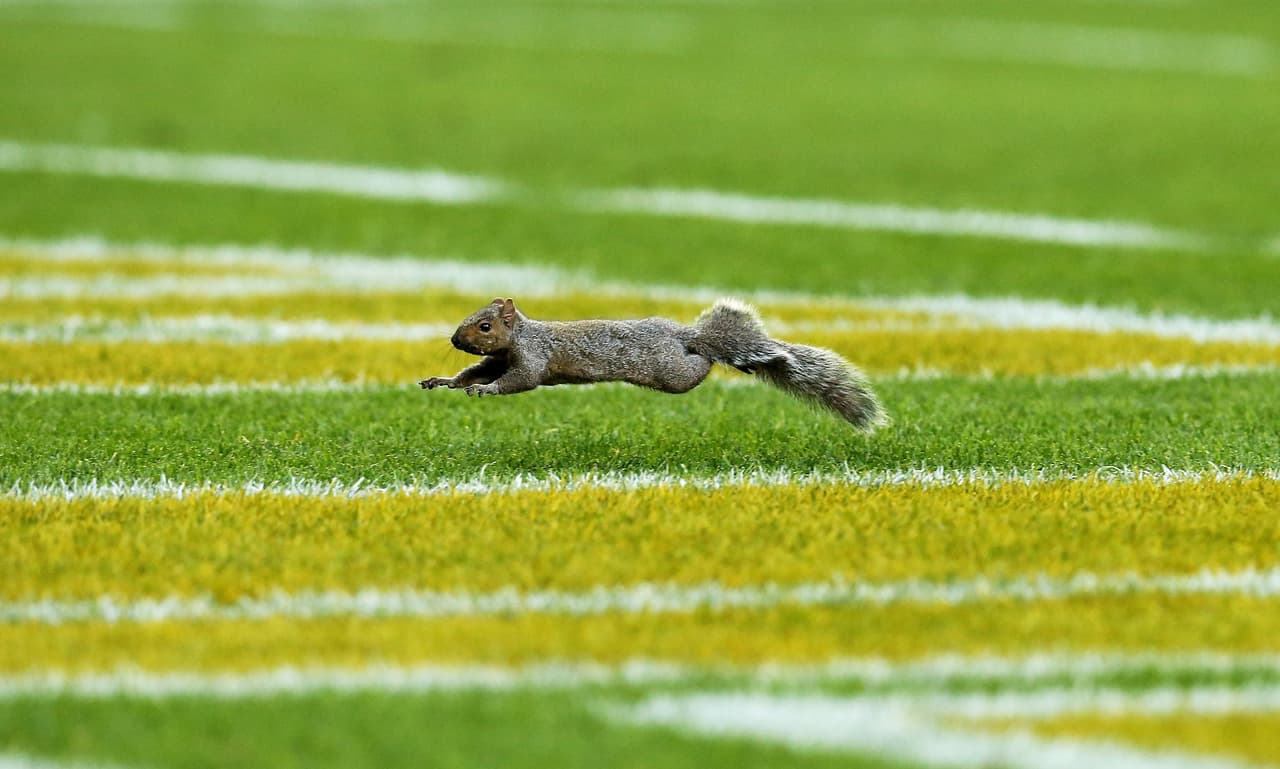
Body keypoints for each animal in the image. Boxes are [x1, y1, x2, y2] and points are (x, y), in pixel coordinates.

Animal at [418, 297, 887, 430]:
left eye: (484, 326)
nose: (455, 340)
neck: (524, 334)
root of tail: (687, 337)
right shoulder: (498, 359)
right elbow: (474, 371)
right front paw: (446, 380)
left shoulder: (532, 357)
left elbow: (519, 380)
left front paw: (485, 390)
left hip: (672, 373)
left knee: (700, 366)